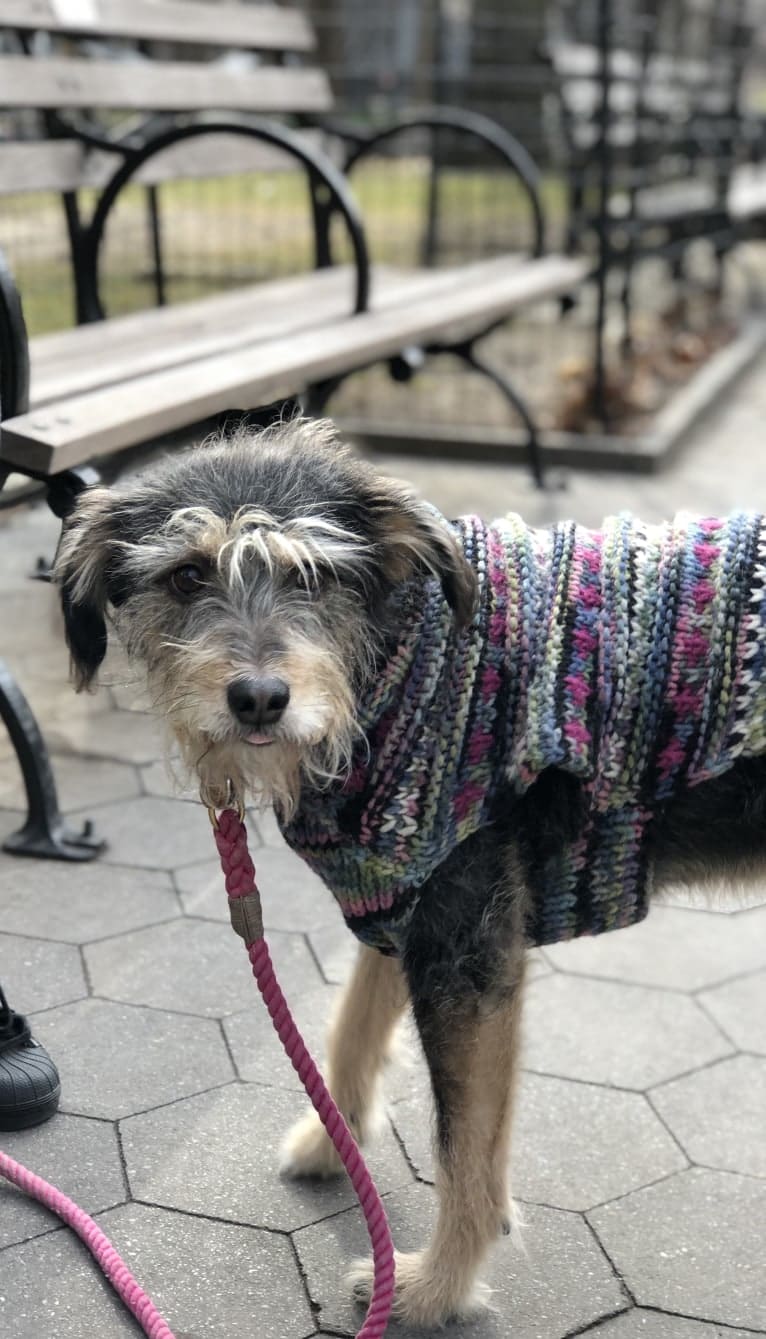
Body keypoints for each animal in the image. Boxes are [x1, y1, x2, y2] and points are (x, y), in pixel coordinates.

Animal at [55, 420, 766, 1328]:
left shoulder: (467, 957)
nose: (259, 698)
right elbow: (351, 1026)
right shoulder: (398, 896)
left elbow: (465, 1144)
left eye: (313, 574)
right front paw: (330, 1140)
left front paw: (433, 1287)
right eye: (186, 576)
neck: (400, 665)